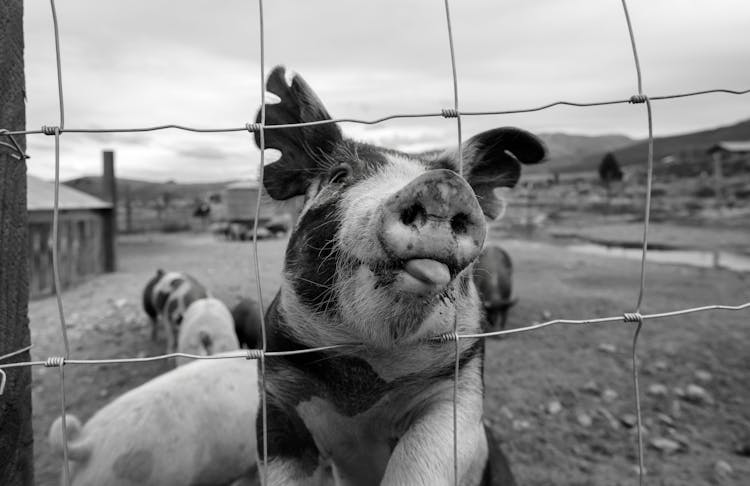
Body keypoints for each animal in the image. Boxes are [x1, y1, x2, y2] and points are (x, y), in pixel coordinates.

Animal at [253, 65, 548, 486]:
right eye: (339, 176)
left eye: (461, 186)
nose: (445, 185)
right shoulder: (275, 400)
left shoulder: (461, 389)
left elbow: (420, 460)